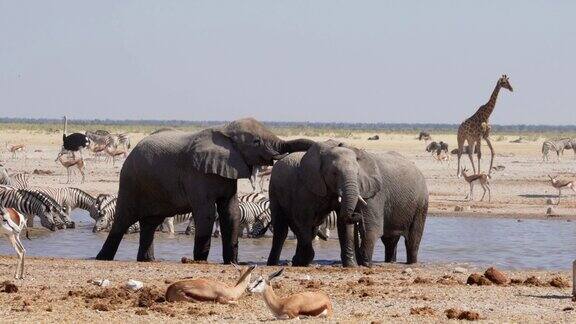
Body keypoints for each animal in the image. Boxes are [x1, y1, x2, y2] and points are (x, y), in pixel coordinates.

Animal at [98, 119, 316, 264]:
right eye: (256, 142)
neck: (225, 131)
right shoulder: (197, 174)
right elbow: (206, 212)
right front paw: (201, 260)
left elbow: (231, 212)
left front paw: (232, 262)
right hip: (130, 181)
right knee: (123, 219)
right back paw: (103, 258)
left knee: (150, 223)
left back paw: (148, 260)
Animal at [266, 140, 428, 268]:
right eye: (334, 173)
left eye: (357, 174)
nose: (357, 214)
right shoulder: (306, 187)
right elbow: (304, 221)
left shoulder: (373, 193)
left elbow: (350, 225)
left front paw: (354, 265)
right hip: (273, 190)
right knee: (283, 229)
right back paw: (277, 263)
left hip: (421, 203)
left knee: (410, 238)